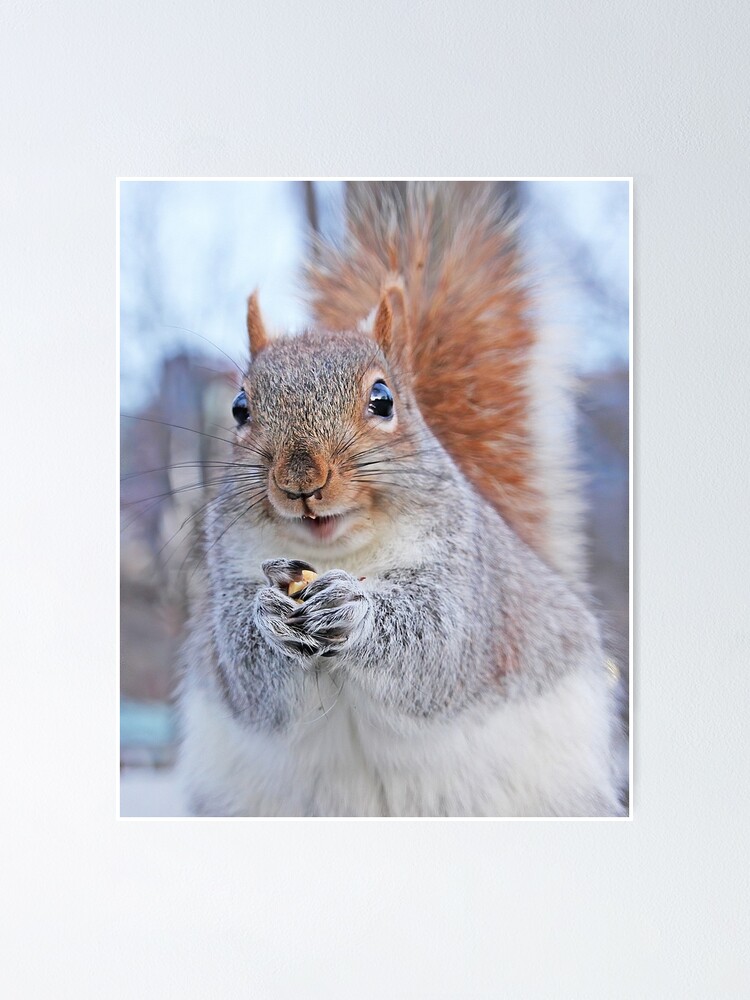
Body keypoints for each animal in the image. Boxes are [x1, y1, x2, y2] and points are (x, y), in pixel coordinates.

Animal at [177, 181, 626, 817]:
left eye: (383, 400)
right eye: (239, 408)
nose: (300, 480)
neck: (342, 553)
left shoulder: (466, 580)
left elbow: (440, 643)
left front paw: (356, 609)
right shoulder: (228, 582)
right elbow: (250, 679)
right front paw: (268, 620)